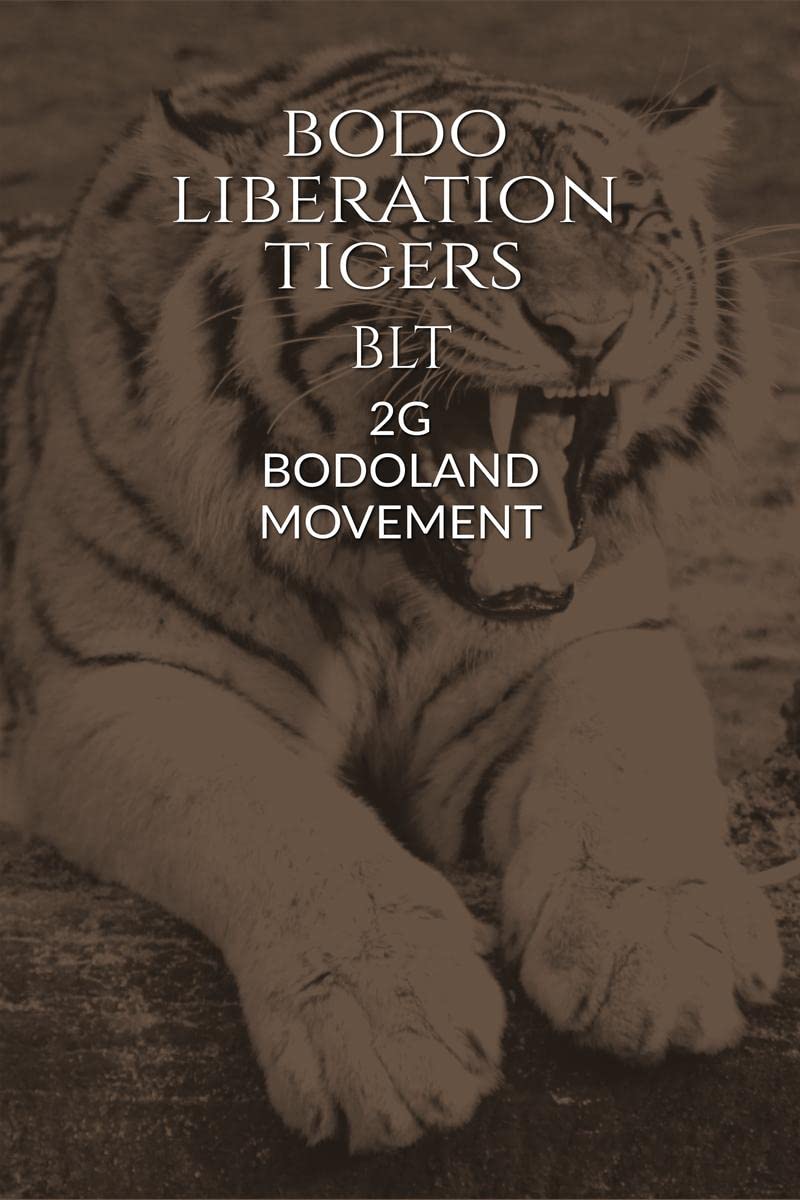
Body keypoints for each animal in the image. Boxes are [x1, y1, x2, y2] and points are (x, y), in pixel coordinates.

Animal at [0, 45, 783, 1153]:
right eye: (442, 226)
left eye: (624, 216)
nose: (590, 331)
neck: (394, 586)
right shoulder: (118, 678)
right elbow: (271, 812)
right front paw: (384, 1023)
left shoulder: (598, 635)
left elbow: (626, 762)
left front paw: (656, 940)